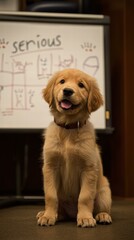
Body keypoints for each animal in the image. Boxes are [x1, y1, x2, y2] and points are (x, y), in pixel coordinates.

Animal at [36, 68, 112, 228]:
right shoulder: (50, 167)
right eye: (62, 81)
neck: (68, 128)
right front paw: (48, 216)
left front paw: (85, 218)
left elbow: (85, 197)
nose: (67, 91)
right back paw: (48, 214)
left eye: (81, 85)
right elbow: (51, 196)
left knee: (101, 207)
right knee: (60, 209)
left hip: (104, 190)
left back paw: (102, 215)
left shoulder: (88, 168)